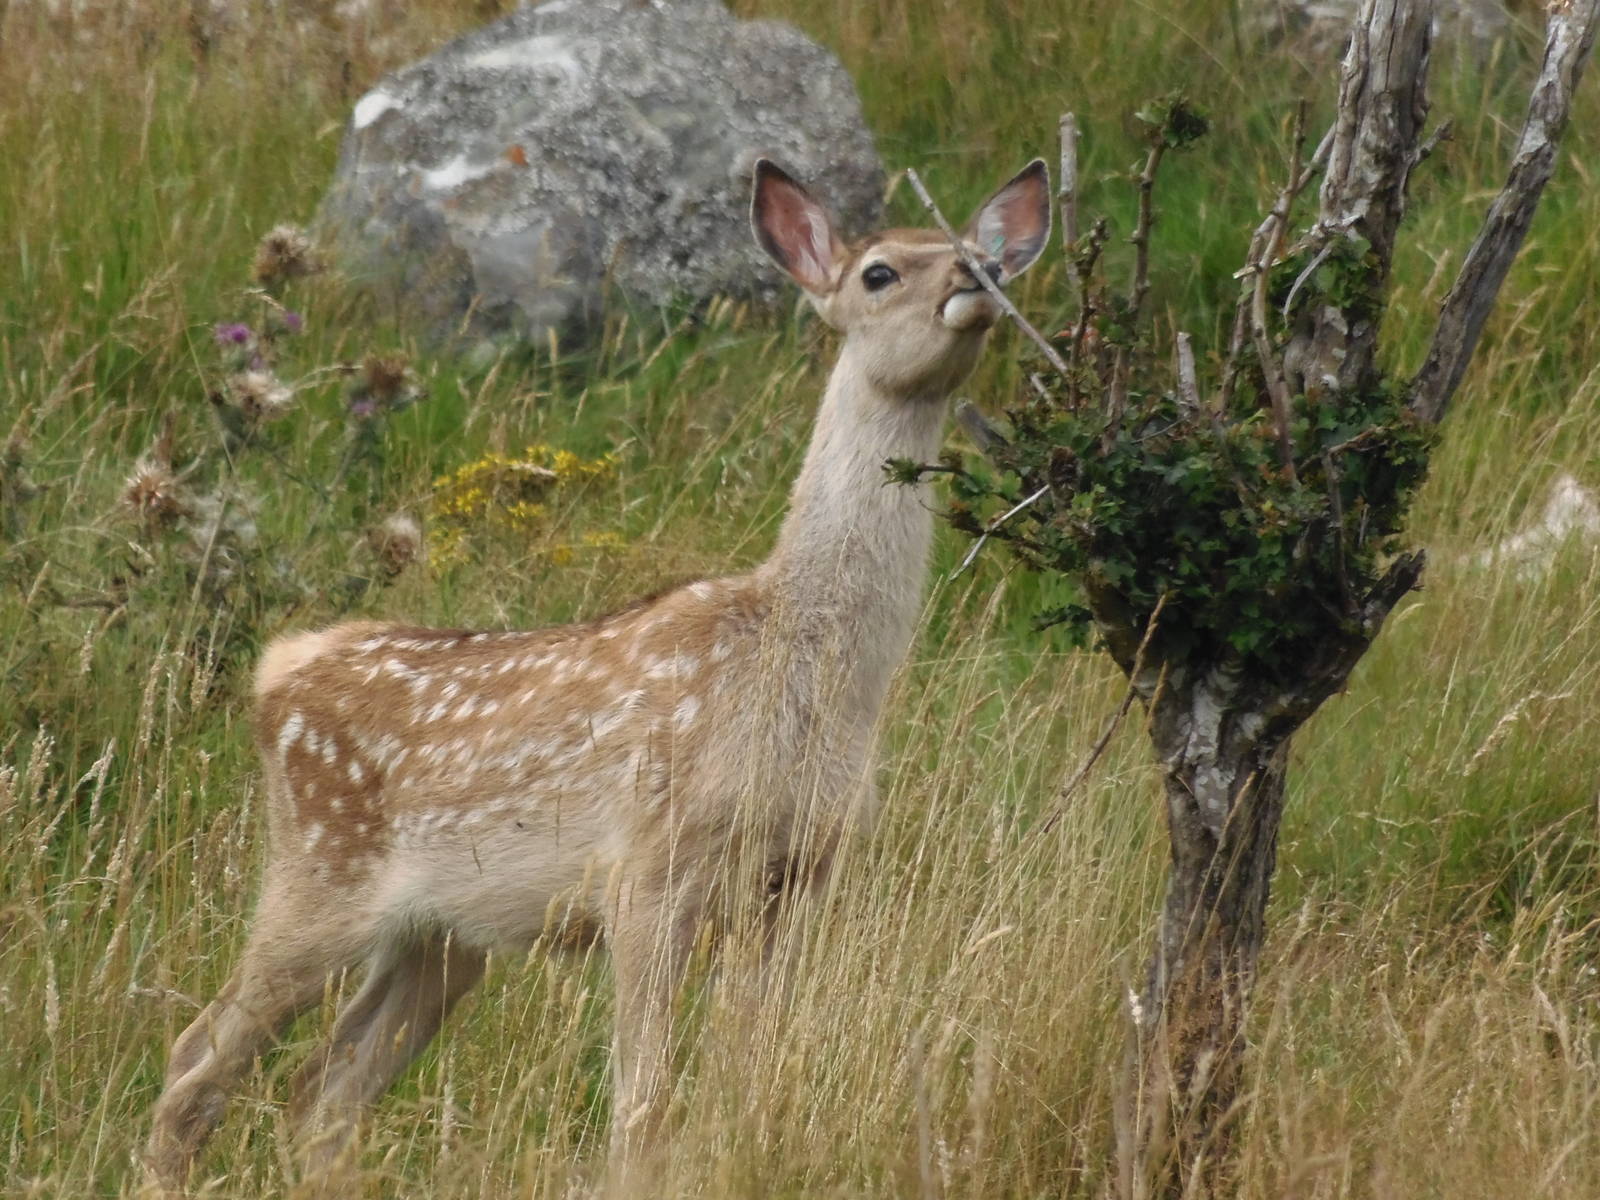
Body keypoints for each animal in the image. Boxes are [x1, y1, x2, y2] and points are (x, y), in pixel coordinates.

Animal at [143, 156, 1050, 1192]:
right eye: (880, 272)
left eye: (982, 253)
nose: (978, 281)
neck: (808, 674)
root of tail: (278, 670)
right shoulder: (649, 863)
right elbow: (644, 1106)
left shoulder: (800, 878)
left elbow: (744, 1078)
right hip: (319, 871)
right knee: (198, 1061)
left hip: (442, 934)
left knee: (325, 1087)